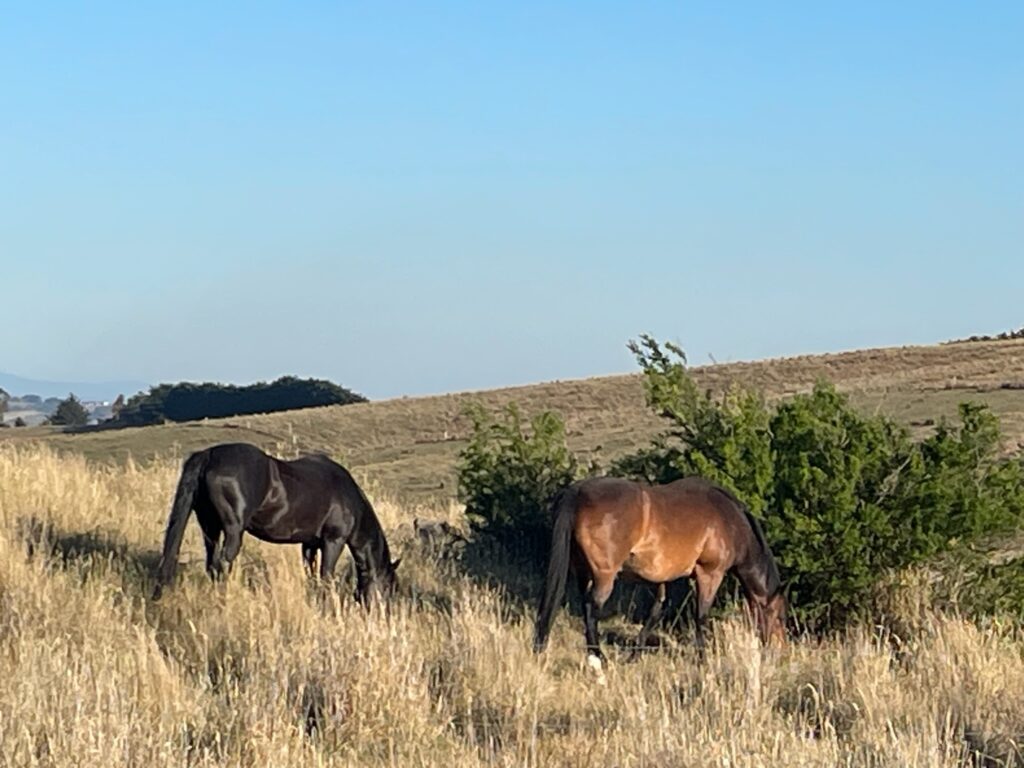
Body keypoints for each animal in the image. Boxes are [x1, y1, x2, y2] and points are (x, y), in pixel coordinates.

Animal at [151, 444, 399, 602]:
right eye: (388, 587)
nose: (384, 615)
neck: (349, 497)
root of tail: (209, 455)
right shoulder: (333, 541)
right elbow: (326, 576)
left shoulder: (309, 544)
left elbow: (311, 576)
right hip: (233, 531)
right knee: (223, 563)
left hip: (209, 528)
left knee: (211, 564)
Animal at [536, 475, 782, 667]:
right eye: (777, 615)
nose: (779, 651)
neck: (730, 521)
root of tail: (577, 491)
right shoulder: (710, 574)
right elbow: (700, 616)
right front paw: (703, 659)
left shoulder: (665, 577)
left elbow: (656, 611)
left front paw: (634, 655)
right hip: (604, 576)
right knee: (591, 607)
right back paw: (598, 657)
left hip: (583, 573)